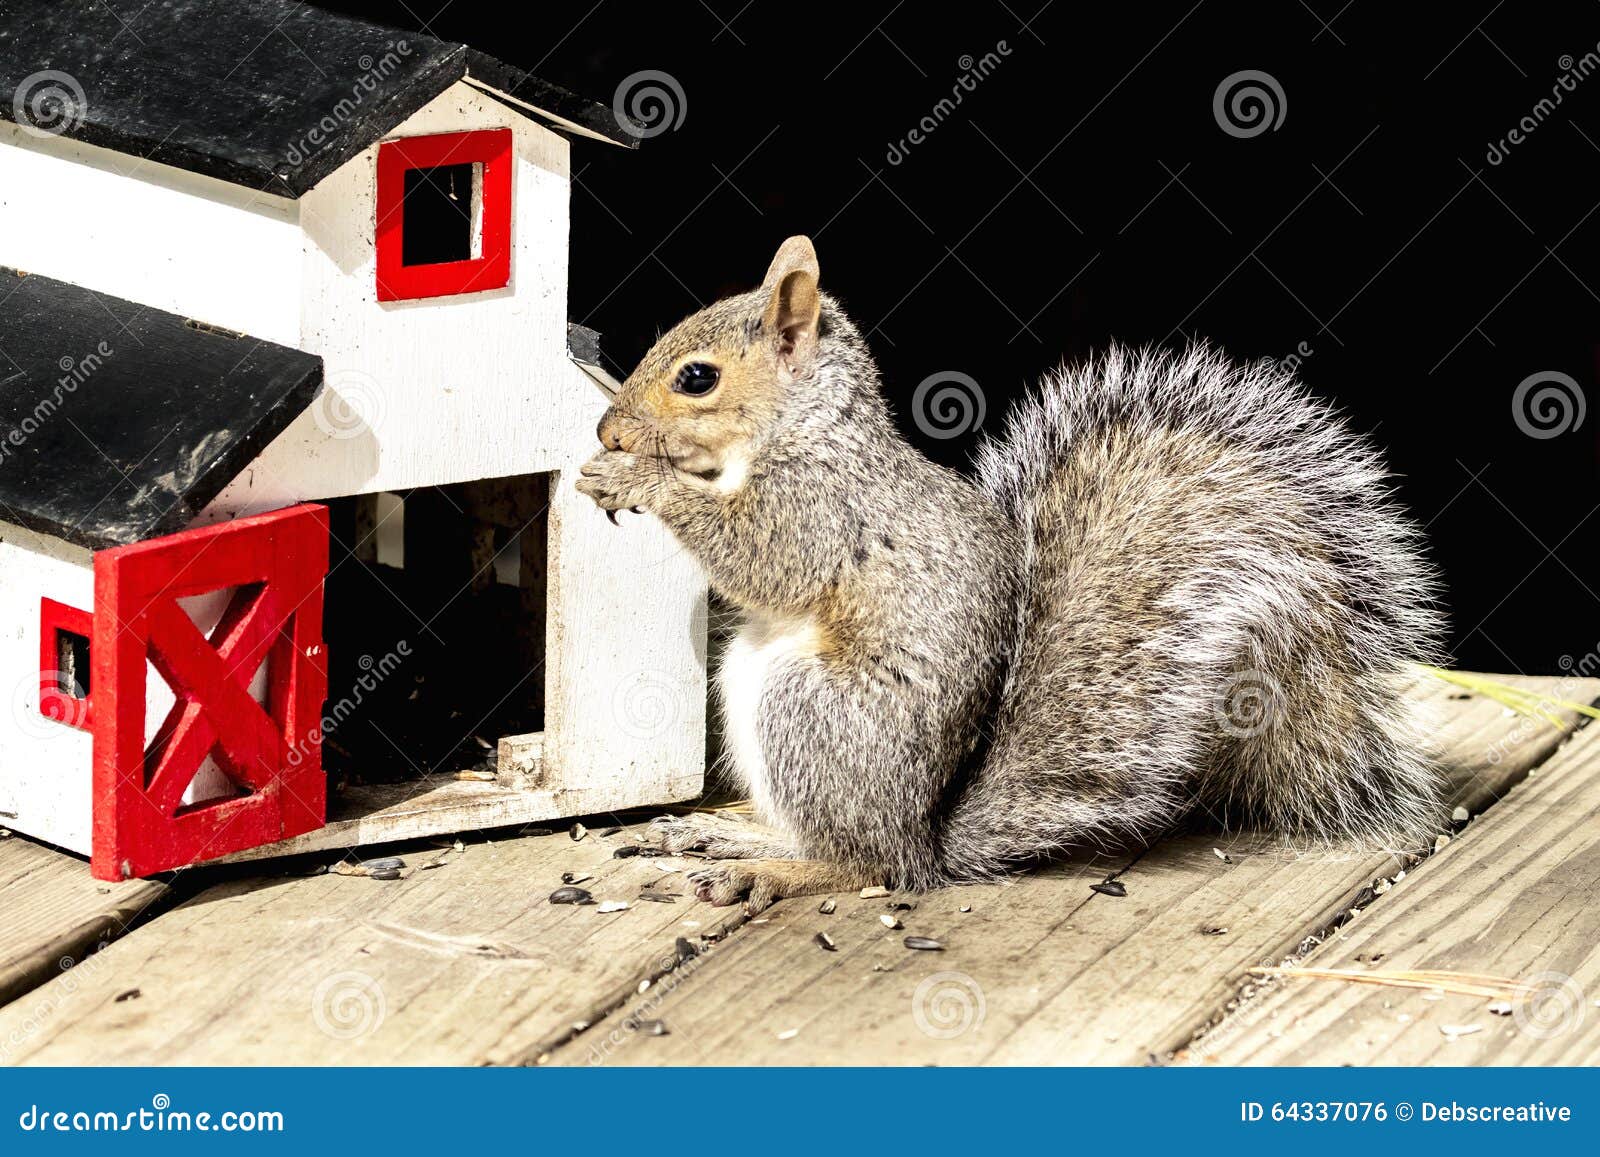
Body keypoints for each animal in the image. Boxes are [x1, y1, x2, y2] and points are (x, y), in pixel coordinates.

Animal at [577, 236, 1446, 913]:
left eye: (697, 378)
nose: (608, 428)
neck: (806, 431)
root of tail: (922, 833)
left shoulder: (827, 510)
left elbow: (762, 556)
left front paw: (639, 480)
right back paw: (723, 834)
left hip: (808, 711)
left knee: (862, 860)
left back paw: (767, 870)